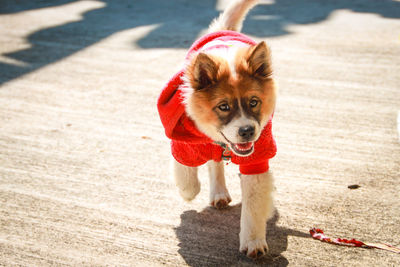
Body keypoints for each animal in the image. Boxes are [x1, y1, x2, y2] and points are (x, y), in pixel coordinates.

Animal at [158, 0, 276, 260]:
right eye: (224, 106)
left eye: (254, 102)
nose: (247, 131)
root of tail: (224, 29)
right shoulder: (181, 140)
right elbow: (186, 174)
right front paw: (188, 191)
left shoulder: (257, 157)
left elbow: (253, 205)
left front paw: (253, 241)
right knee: (213, 161)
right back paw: (217, 192)